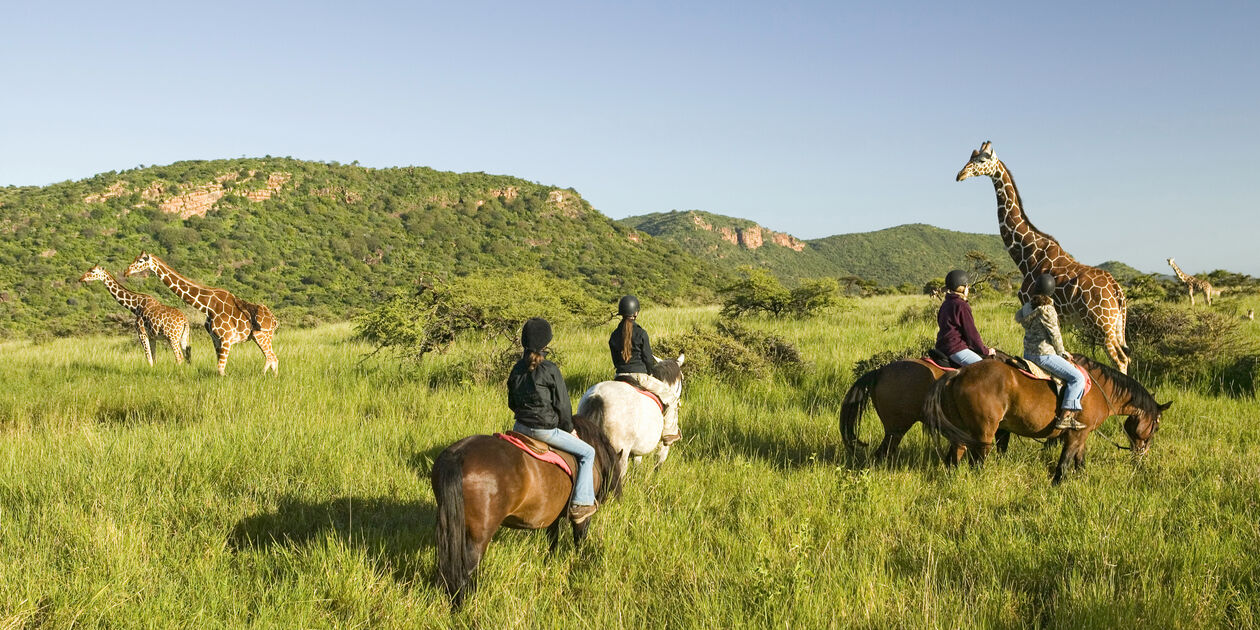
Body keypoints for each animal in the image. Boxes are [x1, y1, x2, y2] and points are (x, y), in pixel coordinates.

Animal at [431, 415, 622, 608]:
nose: (618, 497)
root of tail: (457, 455)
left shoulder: (552, 516)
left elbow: (553, 540)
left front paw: (550, 563)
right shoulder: (583, 518)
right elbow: (579, 541)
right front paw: (578, 563)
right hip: (479, 536)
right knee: (464, 571)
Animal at [923, 355, 1171, 484]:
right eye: (1156, 426)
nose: (1142, 454)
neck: (1101, 389)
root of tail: (959, 373)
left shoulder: (1082, 434)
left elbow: (1080, 459)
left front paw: (1082, 478)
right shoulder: (1076, 434)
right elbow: (1065, 461)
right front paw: (1057, 484)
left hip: (962, 432)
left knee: (954, 456)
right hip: (984, 432)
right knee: (977, 462)